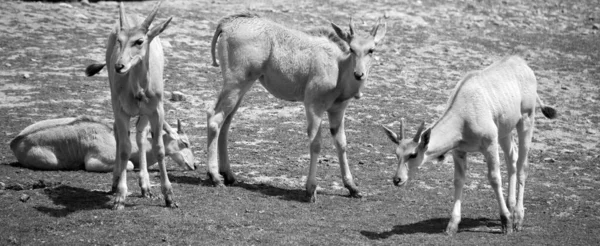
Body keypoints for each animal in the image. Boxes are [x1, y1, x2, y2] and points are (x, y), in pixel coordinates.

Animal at [86, 1, 176, 209]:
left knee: (141, 136)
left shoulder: (157, 112)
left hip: (144, 115)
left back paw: (146, 187)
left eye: (139, 41)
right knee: (120, 135)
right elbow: (125, 148)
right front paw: (120, 196)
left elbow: (159, 149)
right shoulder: (121, 111)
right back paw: (115, 182)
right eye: (120, 40)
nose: (119, 66)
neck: (138, 90)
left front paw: (169, 197)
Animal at [206, 13, 384, 202]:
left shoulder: (337, 111)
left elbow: (341, 143)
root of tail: (226, 24)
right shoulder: (313, 106)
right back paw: (215, 176)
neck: (338, 66)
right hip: (236, 83)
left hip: (243, 87)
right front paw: (311, 189)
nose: (359, 74)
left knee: (225, 122)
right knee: (215, 118)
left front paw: (352, 187)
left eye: (371, 50)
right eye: (352, 49)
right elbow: (316, 143)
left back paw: (228, 175)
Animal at [384, 55, 556, 234]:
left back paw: (517, 217)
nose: (397, 179)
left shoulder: (489, 144)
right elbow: (458, 180)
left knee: (523, 165)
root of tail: (522, 63)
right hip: (504, 132)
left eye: (413, 154)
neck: (463, 112)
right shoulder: (459, 151)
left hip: (526, 120)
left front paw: (506, 221)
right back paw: (511, 206)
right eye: (397, 154)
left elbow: (494, 178)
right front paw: (452, 225)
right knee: (512, 159)